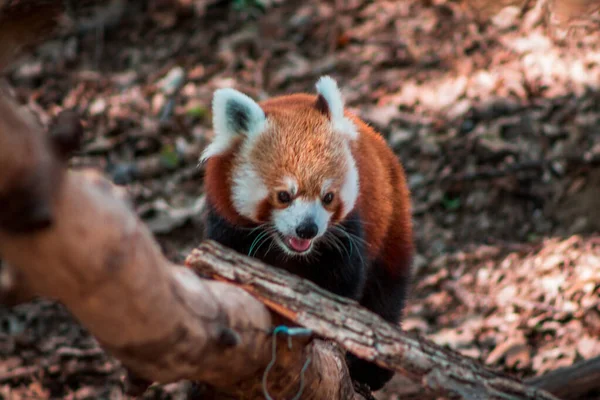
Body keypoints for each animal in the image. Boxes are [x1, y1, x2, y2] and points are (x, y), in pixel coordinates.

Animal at [200, 76, 412, 390]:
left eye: (328, 197)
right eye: (284, 195)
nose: (308, 228)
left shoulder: (348, 234)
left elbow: (340, 289)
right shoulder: (226, 228)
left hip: (392, 221)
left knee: (386, 291)